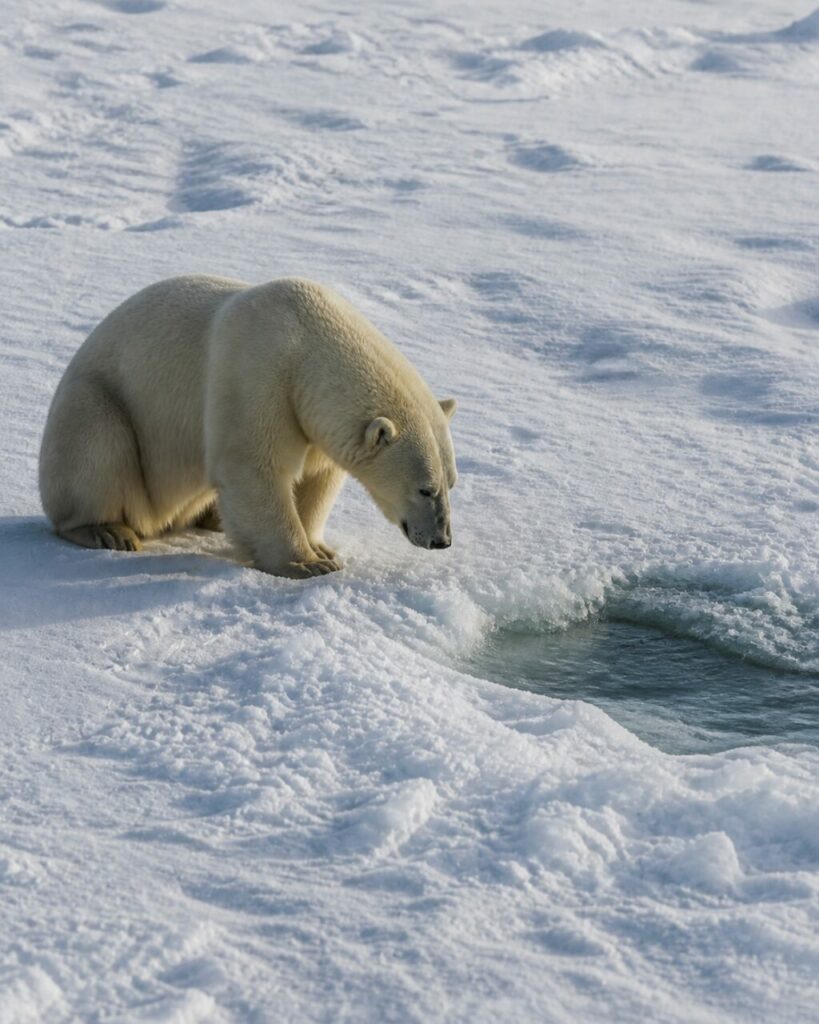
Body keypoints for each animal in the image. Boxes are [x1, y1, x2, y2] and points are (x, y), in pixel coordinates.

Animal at [39, 275, 458, 578]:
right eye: (425, 489)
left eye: (451, 483)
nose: (442, 540)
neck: (308, 337)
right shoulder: (259, 375)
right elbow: (254, 468)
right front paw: (307, 563)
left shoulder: (311, 422)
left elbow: (317, 478)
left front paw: (321, 547)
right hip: (96, 405)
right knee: (97, 442)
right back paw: (107, 529)